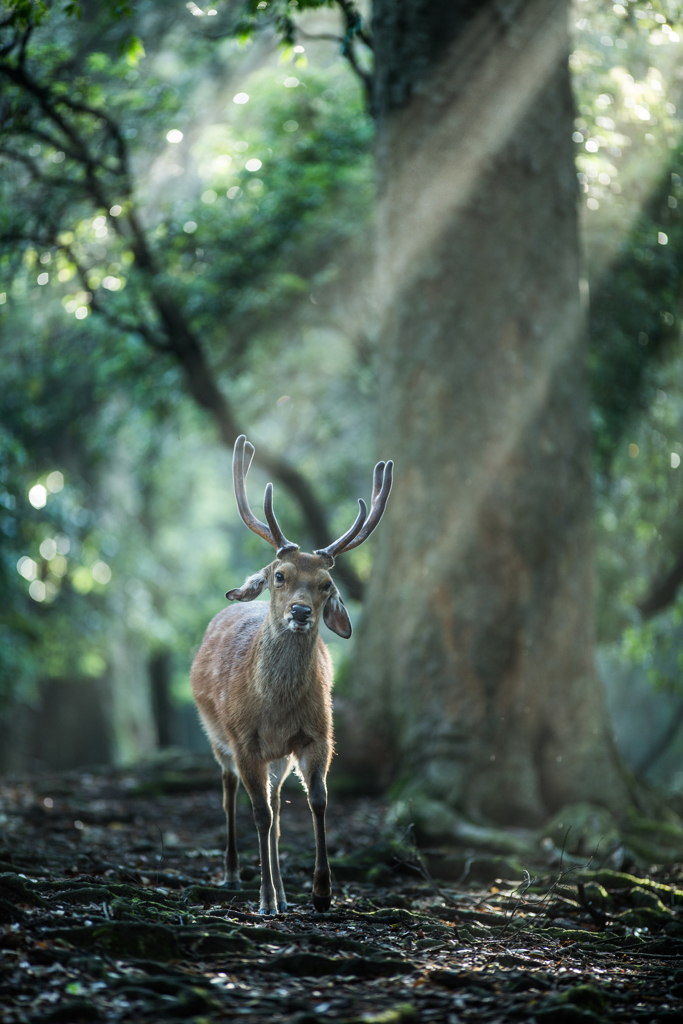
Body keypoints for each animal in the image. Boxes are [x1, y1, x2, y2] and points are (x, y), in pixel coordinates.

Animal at [192, 436, 395, 917]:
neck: (276, 709)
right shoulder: (244, 739)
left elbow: (315, 802)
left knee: (278, 811)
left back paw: (284, 893)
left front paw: (321, 892)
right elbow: (259, 814)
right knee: (231, 793)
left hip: (278, 757)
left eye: (326, 585)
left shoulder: (318, 734)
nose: (300, 612)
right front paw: (265, 900)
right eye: (280, 575)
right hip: (216, 735)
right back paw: (235, 875)